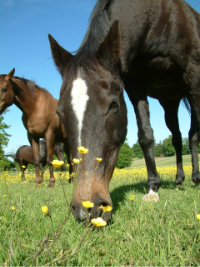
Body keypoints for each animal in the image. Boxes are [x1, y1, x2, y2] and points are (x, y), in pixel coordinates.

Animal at [48, 0, 200, 223]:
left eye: (113, 105)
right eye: (60, 113)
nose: (87, 209)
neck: (159, 18)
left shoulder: (194, 74)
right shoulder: (135, 85)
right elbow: (145, 136)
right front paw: (153, 188)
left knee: (192, 136)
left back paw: (195, 178)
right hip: (169, 101)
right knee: (177, 138)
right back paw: (179, 180)